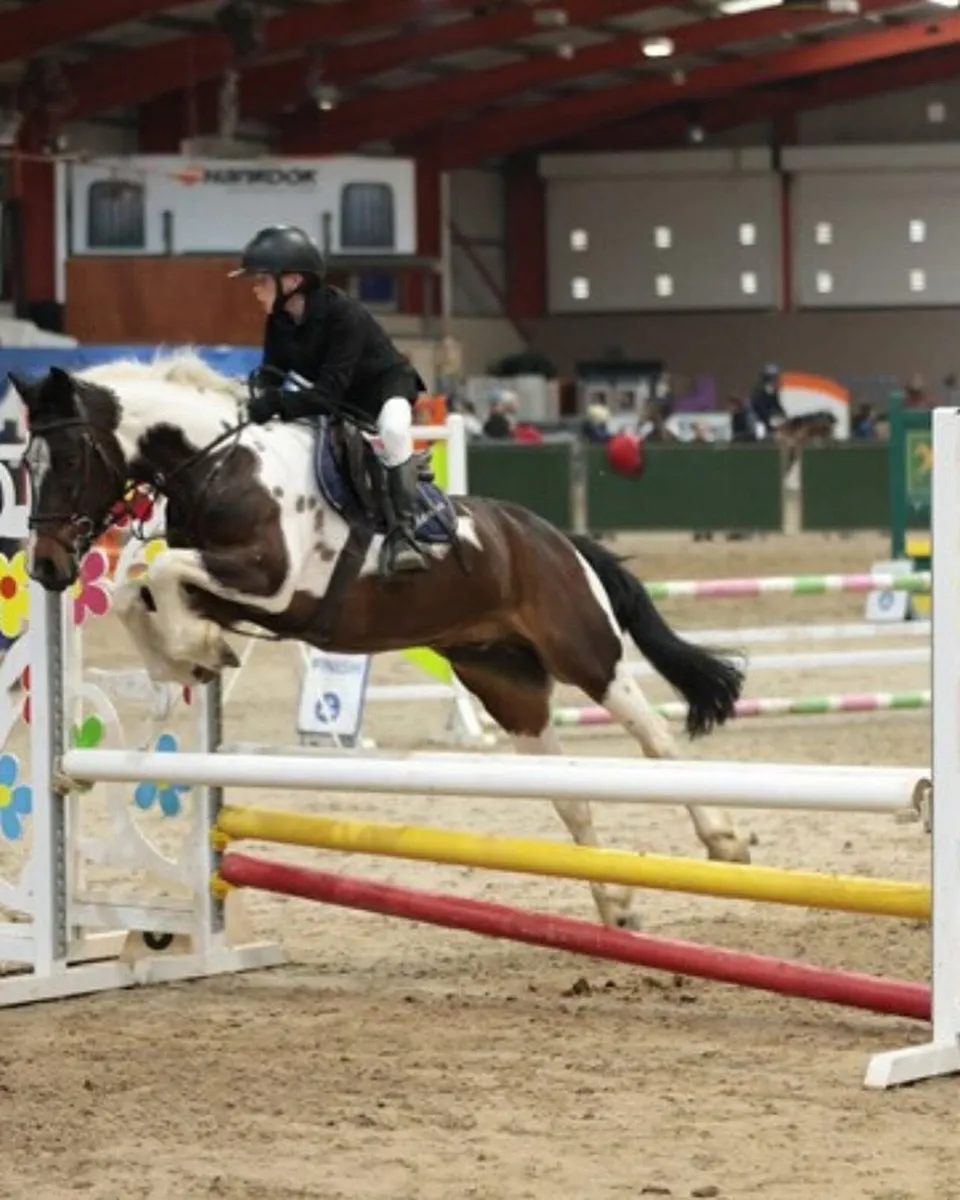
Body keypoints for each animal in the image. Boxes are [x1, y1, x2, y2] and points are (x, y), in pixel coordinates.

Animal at [6, 351, 752, 930]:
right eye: (25, 465)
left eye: (66, 457)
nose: (46, 567)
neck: (223, 468)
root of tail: (554, 537)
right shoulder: (230, 589)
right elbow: (136, 591)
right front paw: (189, 659)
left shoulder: (274, 585)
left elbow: (156, 572)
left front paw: (195, 652)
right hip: (505, 682)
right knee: (571, 797)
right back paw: (616, 908)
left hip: (583, 651)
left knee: (655, 741)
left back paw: (724, 841)